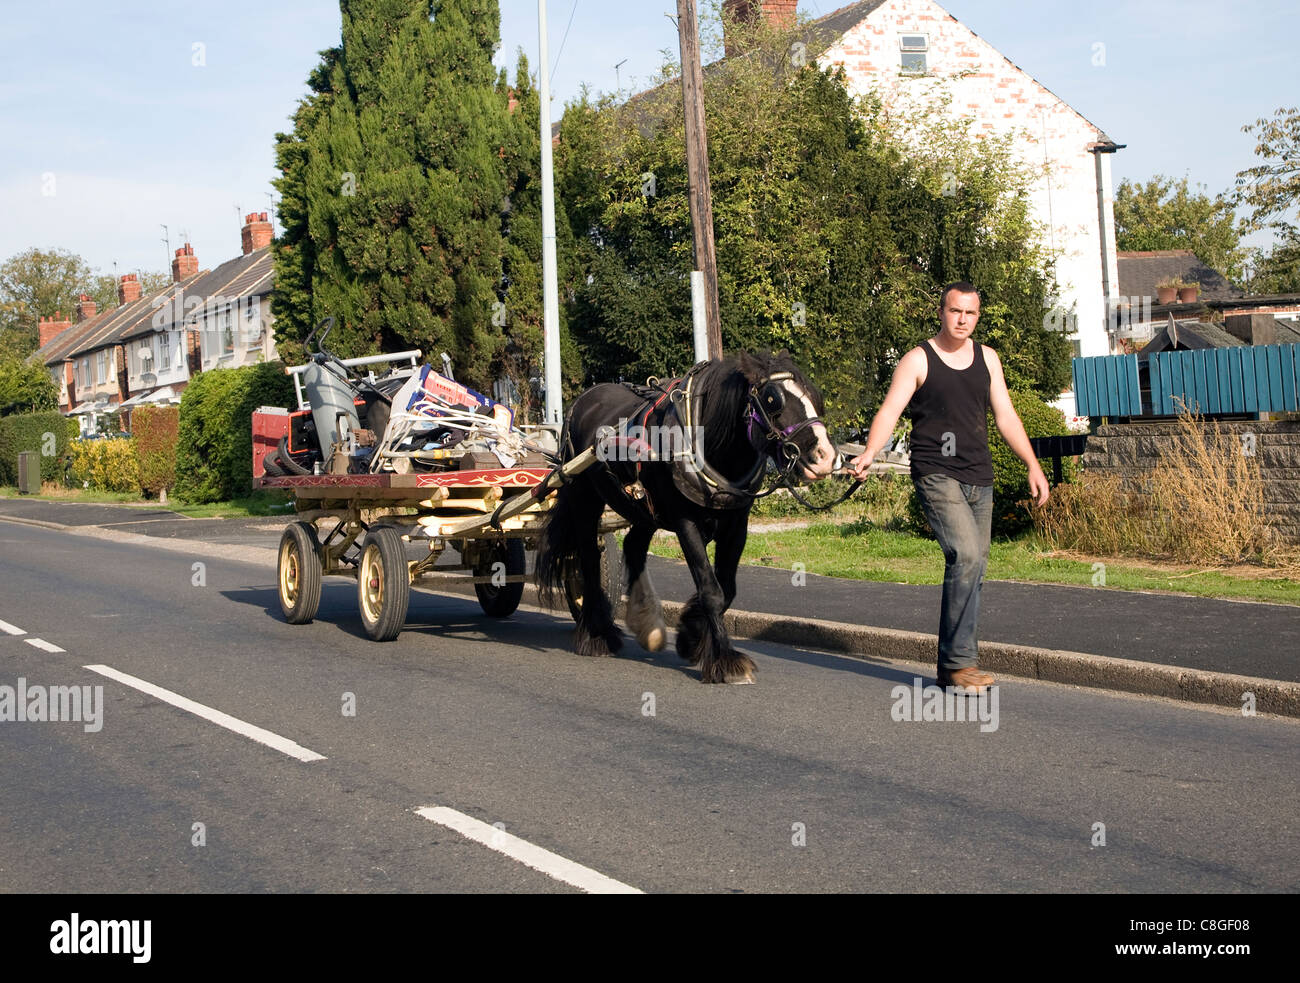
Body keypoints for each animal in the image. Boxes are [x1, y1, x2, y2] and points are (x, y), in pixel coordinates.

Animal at [535, 351, 832, 681]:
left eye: (814, 396)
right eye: (772, 399)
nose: (825, 457)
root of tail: (582, 400)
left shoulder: (736, 524)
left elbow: (727, 589)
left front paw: (691, 636)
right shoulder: (684, 522)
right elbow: (711, 590)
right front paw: (725, 660)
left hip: (644, 509)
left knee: (633, 546)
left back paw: (646, 622)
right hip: (584, 498)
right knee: (588, 559)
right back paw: (597, 634)